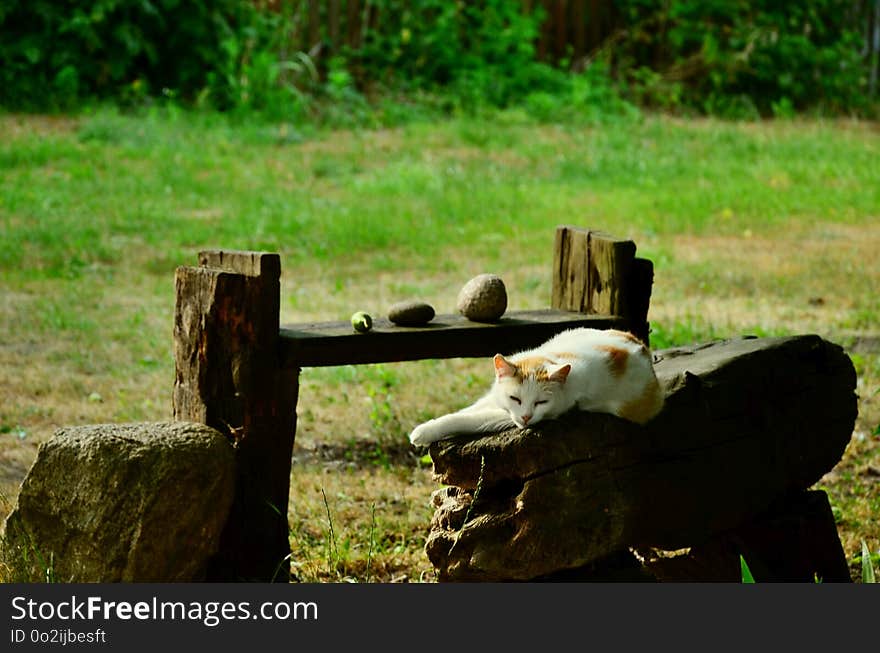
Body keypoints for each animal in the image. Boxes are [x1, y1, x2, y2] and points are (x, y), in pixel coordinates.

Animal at [410, 328, 664, 446]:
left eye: (541, 402)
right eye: (515, 398)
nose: (526, 417)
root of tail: (642, 347)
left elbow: (469, 419)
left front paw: (423, 432)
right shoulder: (497, 400)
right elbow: (469, 410)